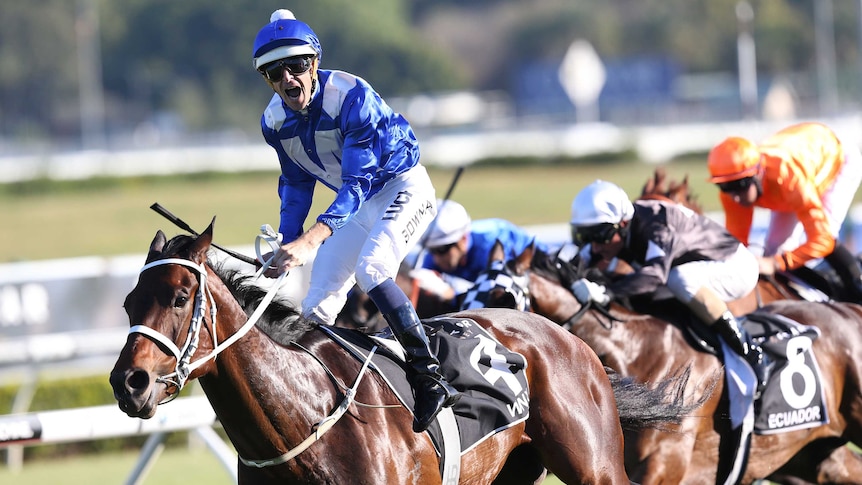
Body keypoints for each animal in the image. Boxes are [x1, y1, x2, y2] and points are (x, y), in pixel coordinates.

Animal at [109, 222, 704, 484]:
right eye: (129, 301)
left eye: (180, 297)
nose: (128, 382)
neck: (301, 418)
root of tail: (569, 338)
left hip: (596, 467)